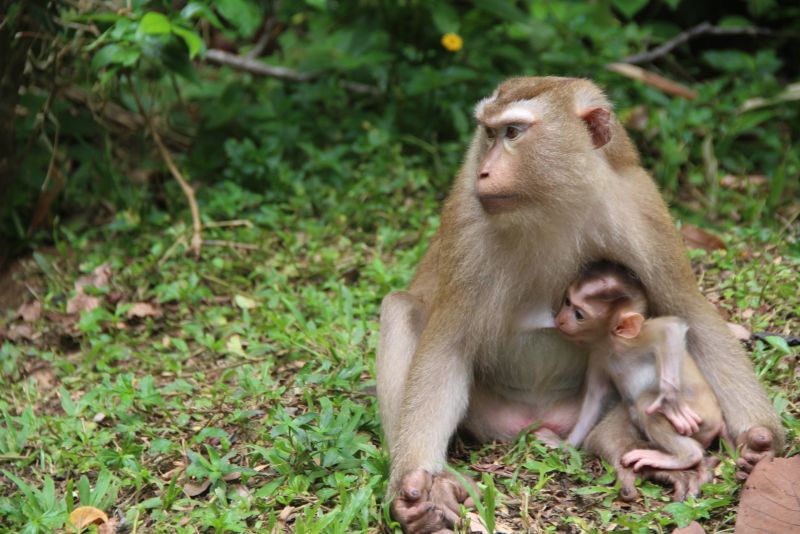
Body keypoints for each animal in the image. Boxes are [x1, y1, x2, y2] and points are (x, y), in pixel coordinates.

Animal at [555, 261, 724, 472]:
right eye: (567, 302)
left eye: (578, 315)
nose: (560, 319)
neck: (611, 346)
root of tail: (718, 421)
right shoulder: (597, 356)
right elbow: (595, 397)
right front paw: (565, 445)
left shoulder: (636, 339)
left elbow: (670, 328)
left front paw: (669, 398)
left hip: (702, 419)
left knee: (644, 403)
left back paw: (684, 457)